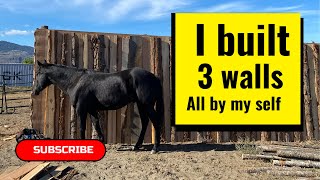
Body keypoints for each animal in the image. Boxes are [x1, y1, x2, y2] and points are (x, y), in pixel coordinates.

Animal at [32, 60, 164, 153]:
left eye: (38, 73)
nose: (34, 92)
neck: (76, 81)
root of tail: (155, 77)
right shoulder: (92, 110)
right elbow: (97, 125)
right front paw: (101, 141)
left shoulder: (81, 109)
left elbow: (82, 127)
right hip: (141, 105)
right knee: (145, 122)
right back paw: (136, 146)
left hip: (147, 105)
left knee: (155, 121)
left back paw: (155, 148)